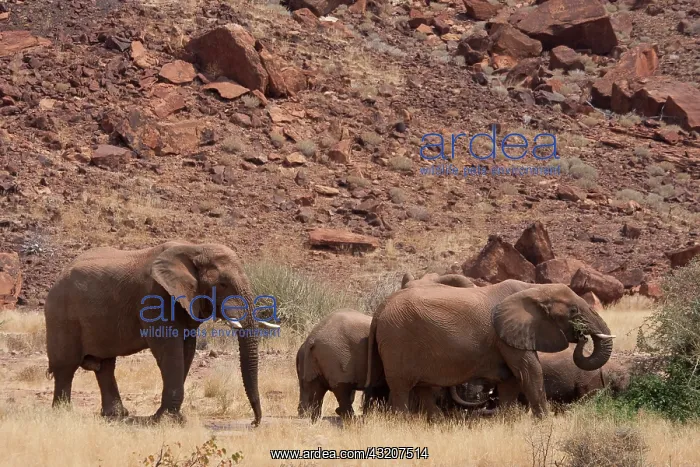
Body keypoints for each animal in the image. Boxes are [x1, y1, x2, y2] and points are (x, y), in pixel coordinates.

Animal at [44, 240, 278, 426]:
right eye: (222, 284)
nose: (254, 422)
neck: (195, 248)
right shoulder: (155, 298)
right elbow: (169, 349)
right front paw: (168, 420)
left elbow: (187, 350)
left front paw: (170, 417)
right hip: (61, 315)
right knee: (66, 366)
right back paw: (63, 413)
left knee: (105, 366)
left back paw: (116, 415)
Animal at [365, 280, 615, 420]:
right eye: (573, 311)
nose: (582, 335)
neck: (535, 289)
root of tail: (380, 309)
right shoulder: (507, 334)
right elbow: (530, 371)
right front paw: (546, 423)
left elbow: (513, 380)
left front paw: (507, 421)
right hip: (398, 341)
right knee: (401, 387)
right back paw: (401, 422)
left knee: (422, 388)